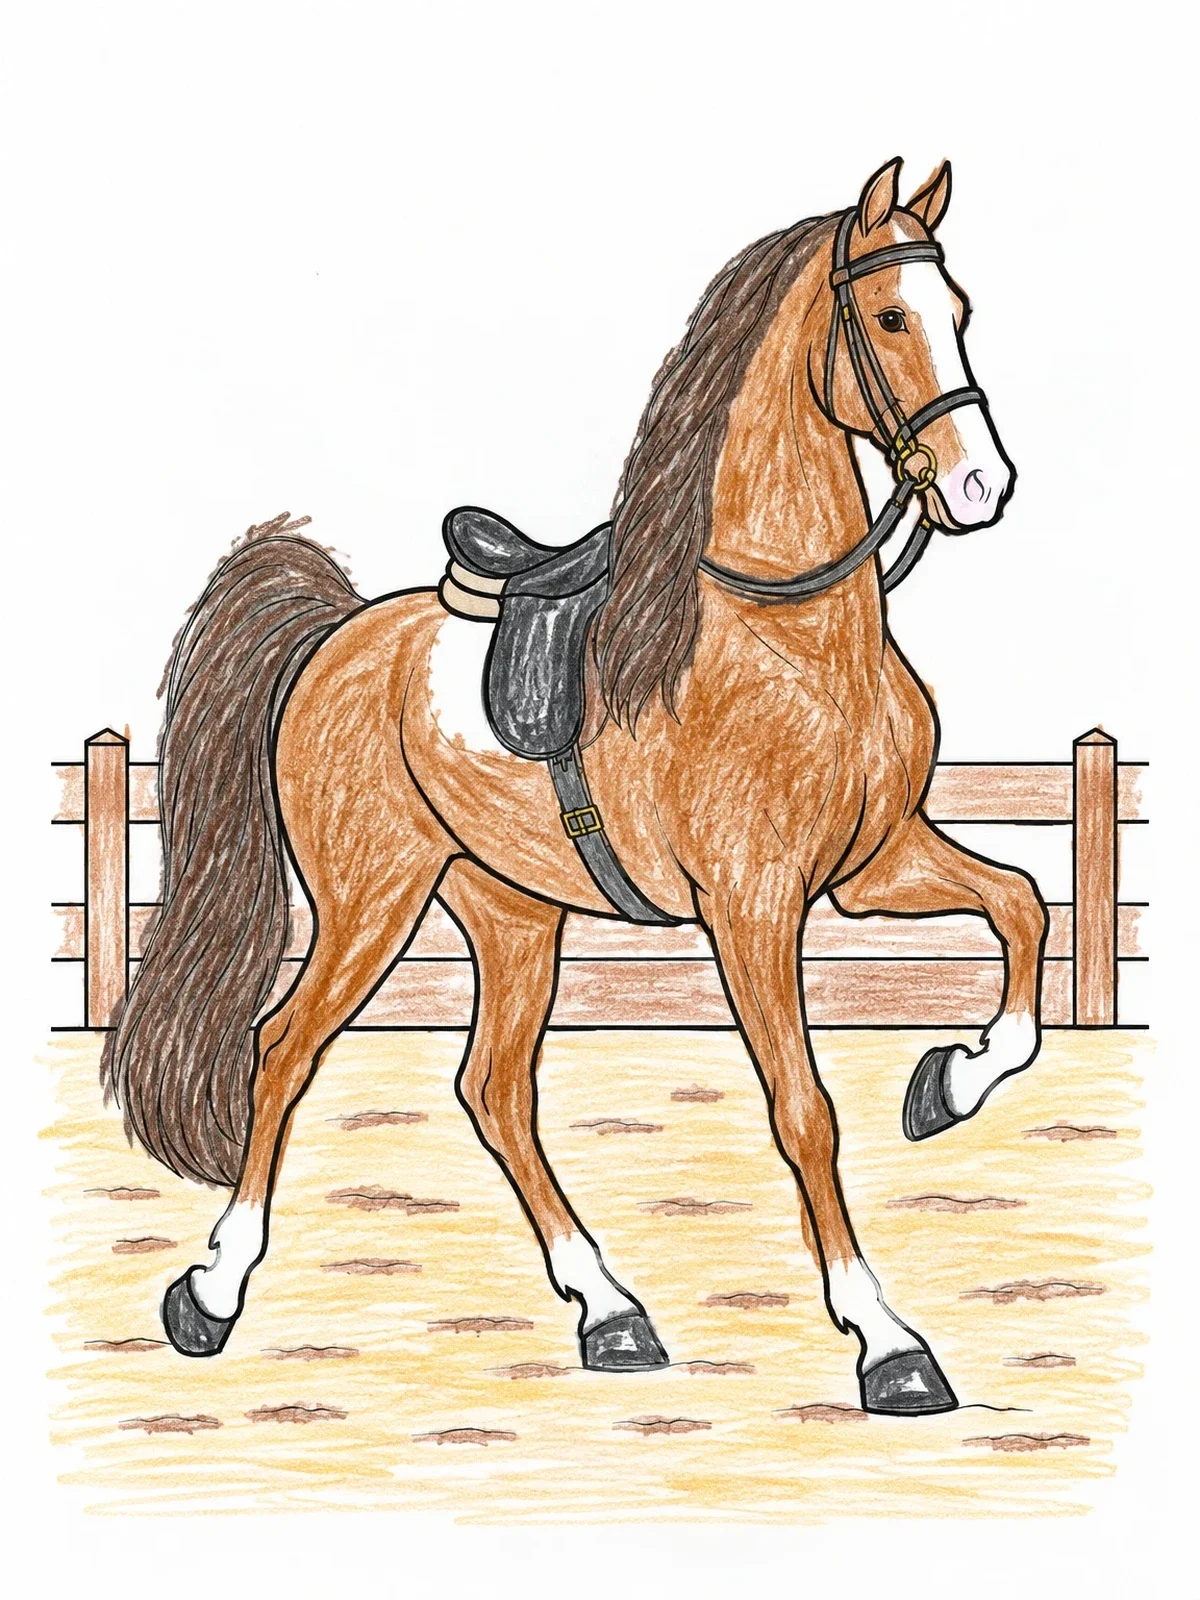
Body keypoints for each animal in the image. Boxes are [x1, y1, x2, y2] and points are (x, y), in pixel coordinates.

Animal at [101, 157, 1045, 1415]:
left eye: (962, 312)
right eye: (891, 317)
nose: (982, 483)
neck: (785, 636)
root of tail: (338, 634)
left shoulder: (872, 861)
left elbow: (1023, 908)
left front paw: (949, 1084)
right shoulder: (753, 906)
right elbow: (805, 1110)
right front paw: (888, 1342)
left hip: (510, 908)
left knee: (494, 1087)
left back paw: (612, 1312)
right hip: (371, 900)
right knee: (284, 1050)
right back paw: (209, 1296)